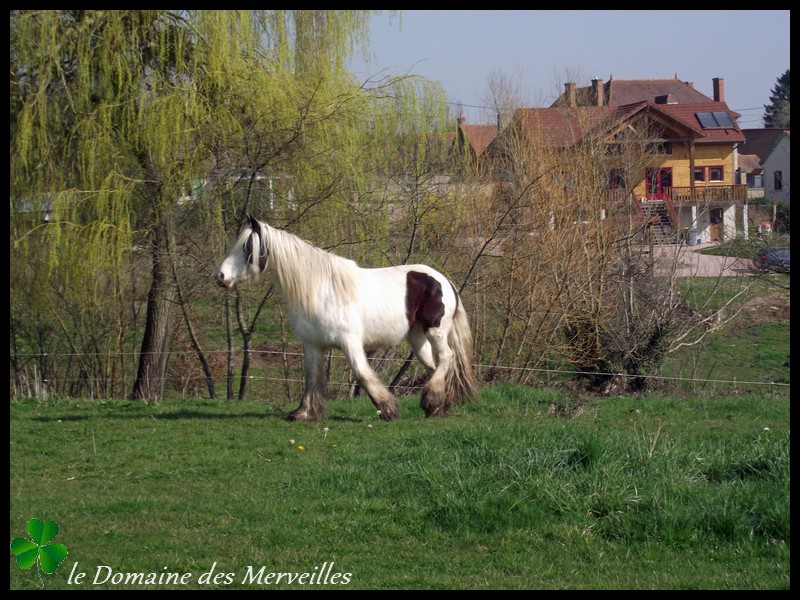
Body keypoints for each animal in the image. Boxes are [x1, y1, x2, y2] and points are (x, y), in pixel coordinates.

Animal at [216, 216, 478, 422]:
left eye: (246, 247)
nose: (220, 276)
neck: (319, 290)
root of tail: (444, 280)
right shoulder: (312, 345)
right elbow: (311, 377)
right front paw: (304, 413)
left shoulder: (349, 342)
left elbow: (361, 373)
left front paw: (388, 410)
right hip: (417, 339)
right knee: (435, 366)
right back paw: (438, 406)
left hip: (436, 332)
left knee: (447, 358)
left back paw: (431, 402)